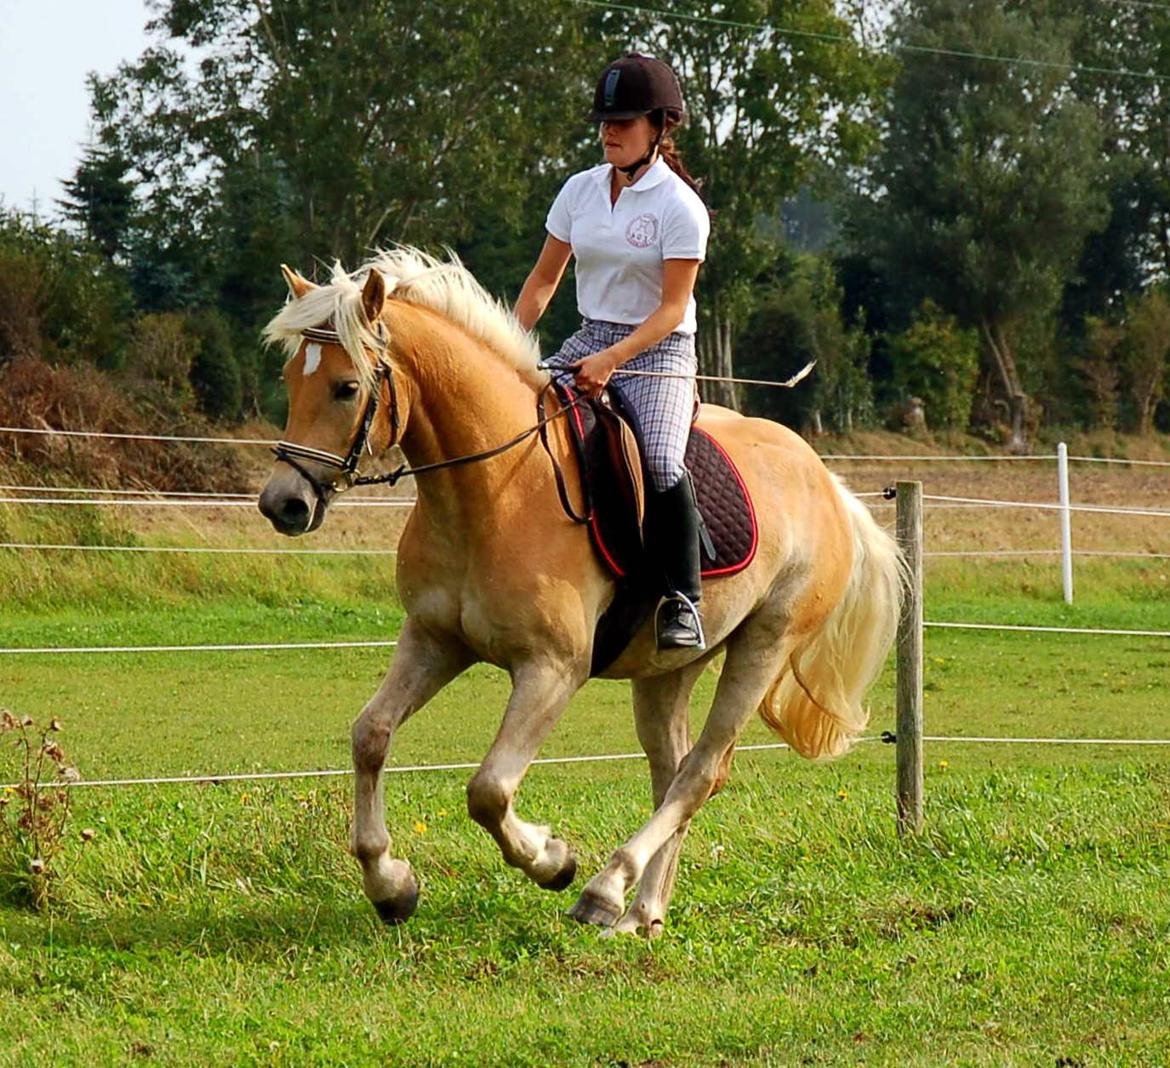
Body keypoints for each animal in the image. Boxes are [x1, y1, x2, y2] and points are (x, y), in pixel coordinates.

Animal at [258, 250, 903, 935]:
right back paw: (643, 912)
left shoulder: (553, 669)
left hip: (765, 644)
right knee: (671, 769)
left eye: (346, 387)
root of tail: (827, 482)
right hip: (668, 666)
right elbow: (371, 736)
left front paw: (552, 859)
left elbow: (488, 790)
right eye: (291, 379)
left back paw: (605, 891)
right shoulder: (434, 639)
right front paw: (390, 885)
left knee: (701, 772)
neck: (495, 491)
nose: (283, 504)